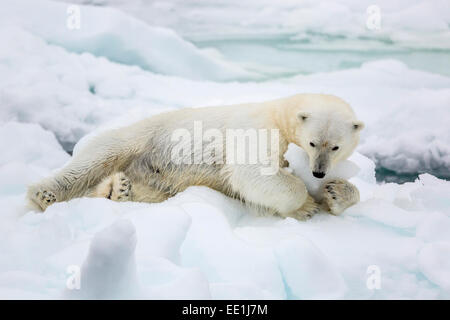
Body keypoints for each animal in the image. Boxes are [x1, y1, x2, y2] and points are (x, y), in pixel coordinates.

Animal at [26, 92, 364, 220]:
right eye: (313, 142)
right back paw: (44, 194)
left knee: (149, 190)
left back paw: (119, 190)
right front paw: (305, 206)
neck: (280, 113)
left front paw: (335, 192)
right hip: (139, 138)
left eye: (335, 146)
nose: (319, 172)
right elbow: (251, 172)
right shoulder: (258, 129)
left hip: (160, 181)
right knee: (93, 160)